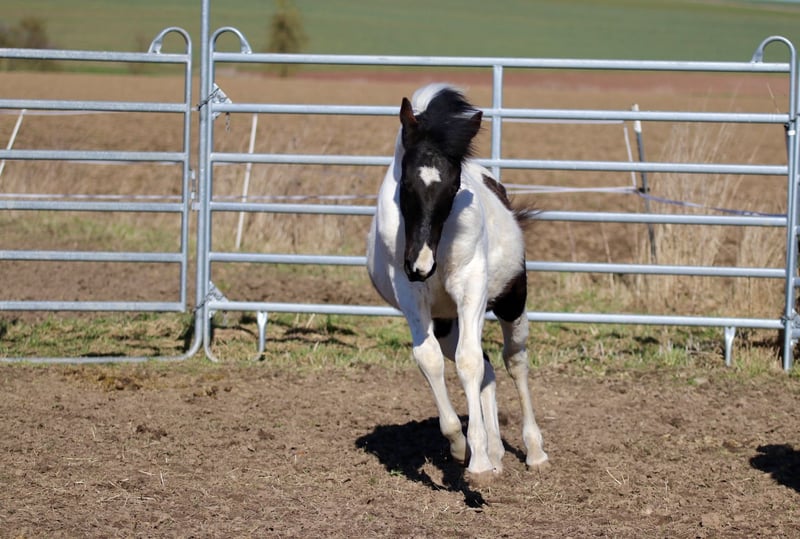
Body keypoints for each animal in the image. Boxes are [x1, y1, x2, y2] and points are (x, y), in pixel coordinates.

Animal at [366, 83, 548, 482]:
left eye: (452, 187)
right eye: (406, 182)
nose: (420, 264)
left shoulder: (471, 291)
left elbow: (469, 363)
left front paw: (477, 463)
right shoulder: (412, 297)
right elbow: (430, 359)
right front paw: (460, 445)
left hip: (512, 301)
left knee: (513, 361)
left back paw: (533, 451)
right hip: (447, 322)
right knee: (489, 369)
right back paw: (496, 452)